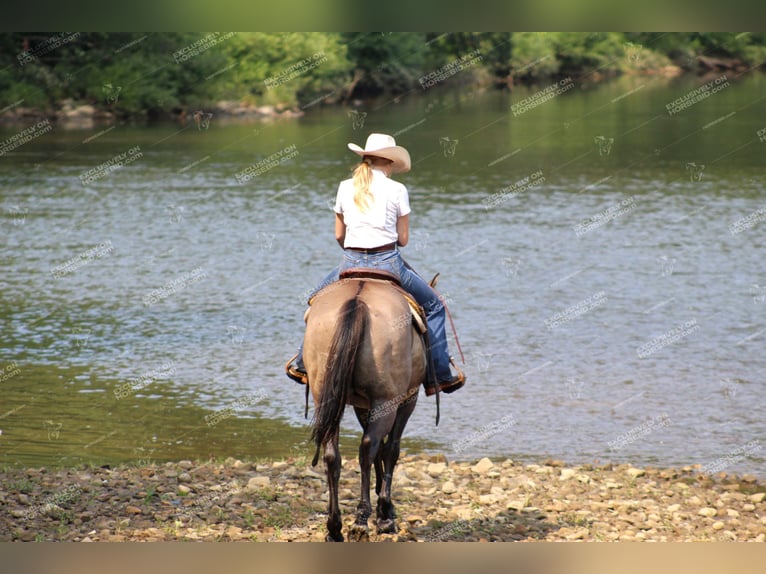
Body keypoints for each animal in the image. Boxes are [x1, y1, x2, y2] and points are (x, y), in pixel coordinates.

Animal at [306, 272, 438, 544]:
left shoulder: (362, 406)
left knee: (332, 455)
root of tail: (357, 301)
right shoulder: (406, 400)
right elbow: (391, 450)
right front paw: (385, 512)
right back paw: (361, 521)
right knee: (368, 448)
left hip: (327, 398)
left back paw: (334, 527)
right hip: (387, 399)